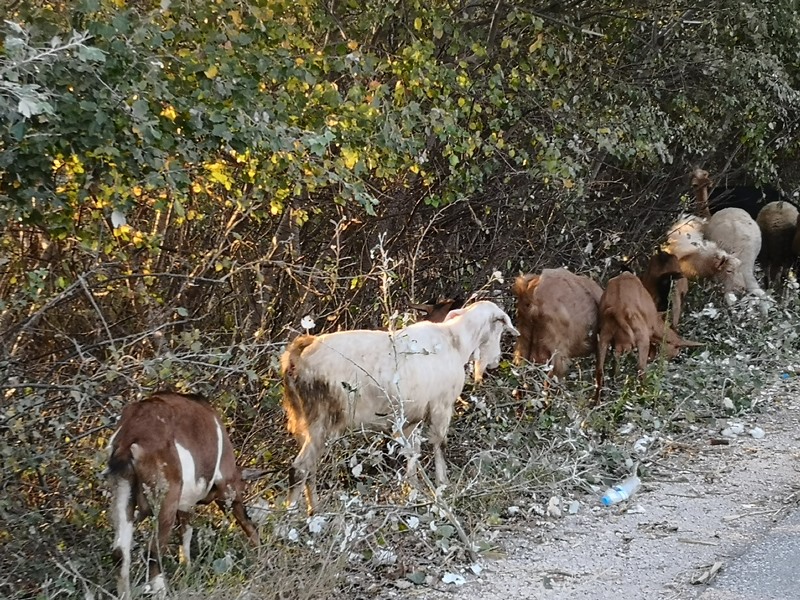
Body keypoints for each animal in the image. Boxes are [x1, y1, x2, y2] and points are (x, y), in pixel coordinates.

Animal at [106, 392, 260, 596]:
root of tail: (131, 437)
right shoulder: (226, 484)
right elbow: (245, 520)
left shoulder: (185, 503)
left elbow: (185, 533)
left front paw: (186, 569)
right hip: (166, 498)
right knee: (153, 551)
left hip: (123, 489)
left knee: (120, 553)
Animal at [282, 300, 520, 510]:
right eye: (500, 328)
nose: (495, 361)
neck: (455, 341)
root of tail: (299, 354)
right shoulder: (441, 406)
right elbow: (439, 445)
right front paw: (443, 485)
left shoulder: (413, 417)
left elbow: (412, 453)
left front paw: (413, 490)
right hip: (322, 419)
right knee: (299, 469)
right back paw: (295, 517)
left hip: (304, 421)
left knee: (310, 468)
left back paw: (314, 511)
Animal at [592, 274, 700, 406]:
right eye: (676, 349)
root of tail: (617, 309)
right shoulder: (647, 335)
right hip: (641, 336)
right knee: (640, 367)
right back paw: (646, 396)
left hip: (604, 336)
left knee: (600, 369)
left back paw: (597, 400)